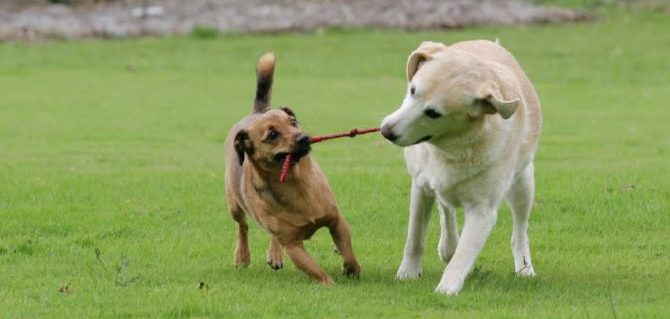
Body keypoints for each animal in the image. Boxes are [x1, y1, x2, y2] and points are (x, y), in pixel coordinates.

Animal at [224, 52, 362, 284]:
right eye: (272, 134)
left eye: (293, 122)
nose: (304, 137)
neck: (294, 183)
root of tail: (257, 113)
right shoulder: (292, 245)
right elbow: (316, 271)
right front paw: (331, 285)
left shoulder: (336, 221)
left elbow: (348, 251)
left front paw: (351, 269)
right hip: (234, 204)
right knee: (242, 226)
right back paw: (242, 256)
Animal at [380, 39, 544, 296]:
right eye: (413, 90)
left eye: (433, 113)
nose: (387, 131)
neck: (452, 149)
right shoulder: (421, 187)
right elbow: (414, 238)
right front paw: (407, 274)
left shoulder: (482, 211)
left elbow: (463, 256)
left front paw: (446, 289)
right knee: (446, 208)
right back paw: (448, 245)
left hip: (524, 184)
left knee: (519, 231)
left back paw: (524, 267)